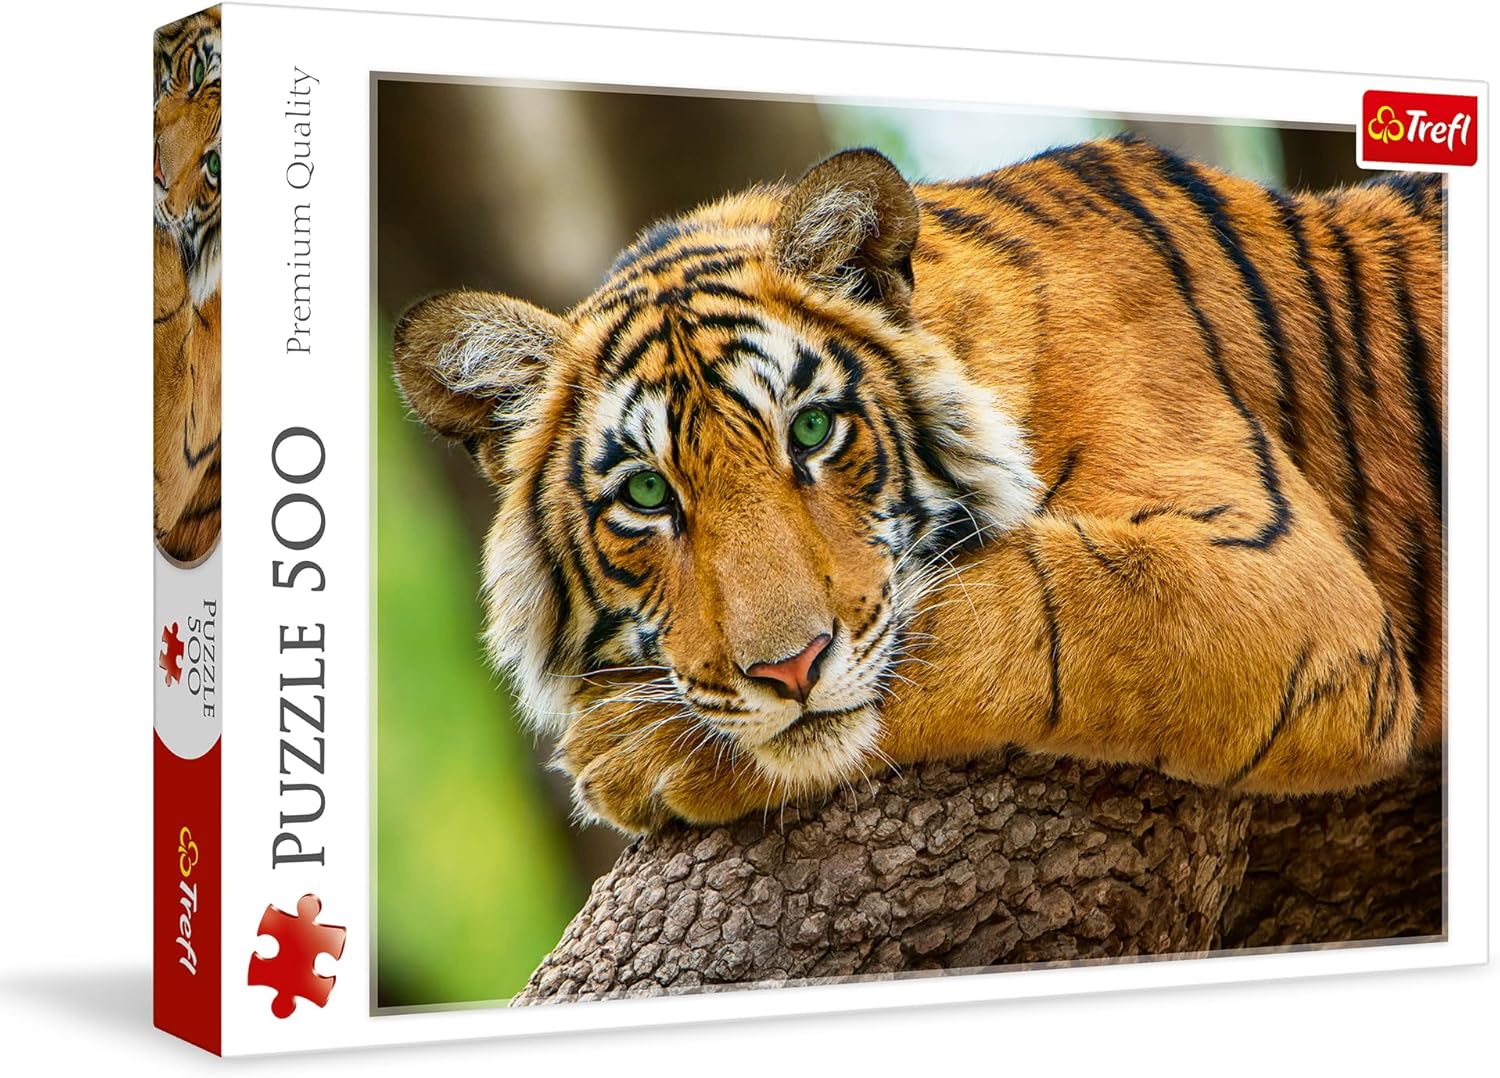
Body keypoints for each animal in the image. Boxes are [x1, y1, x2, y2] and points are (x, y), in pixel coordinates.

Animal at [393, 134, 1444, 834]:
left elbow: (1014, 607)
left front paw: (630, 750)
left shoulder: (1282, 579)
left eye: (812, 430)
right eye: (648, 497)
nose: (789, 671)